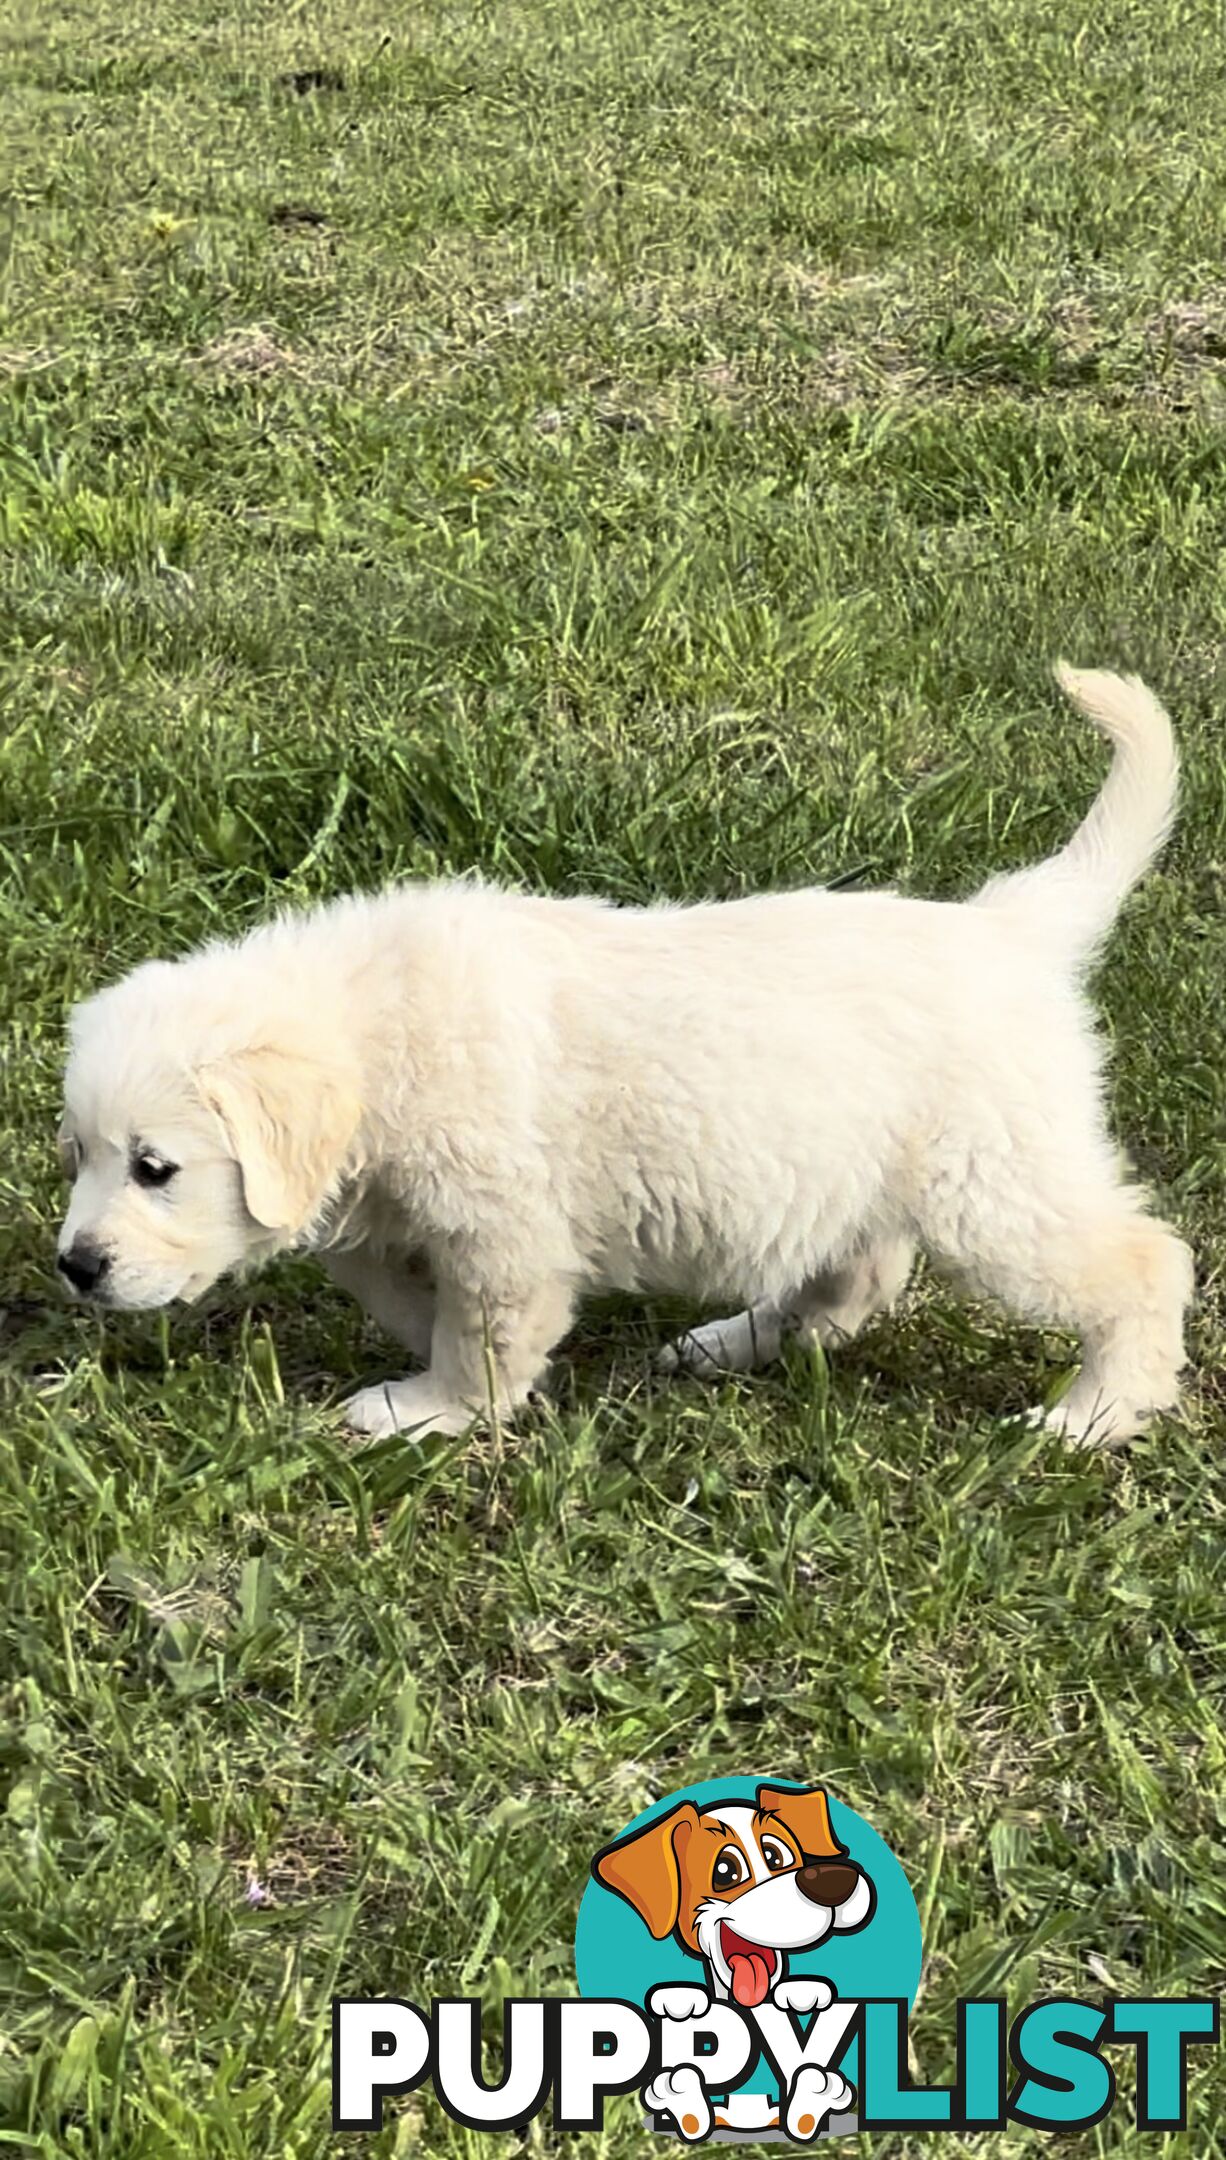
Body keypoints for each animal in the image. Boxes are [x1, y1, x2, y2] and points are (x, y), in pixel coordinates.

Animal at [55, 669, 1191, 1451]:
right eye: (79, 1156)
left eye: (154, 1168)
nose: (75, 1268)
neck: (373, 1026)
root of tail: (1008, 927)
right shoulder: (379, 1210)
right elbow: (399, 1291)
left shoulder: (502, 1225)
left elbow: (480, 1330)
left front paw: (431, 1409)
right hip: (853, 1169)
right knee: (854, 1277)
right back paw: (733, 1342)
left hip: (995, 1183)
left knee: (1142, 1262)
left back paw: (1093, 1416)